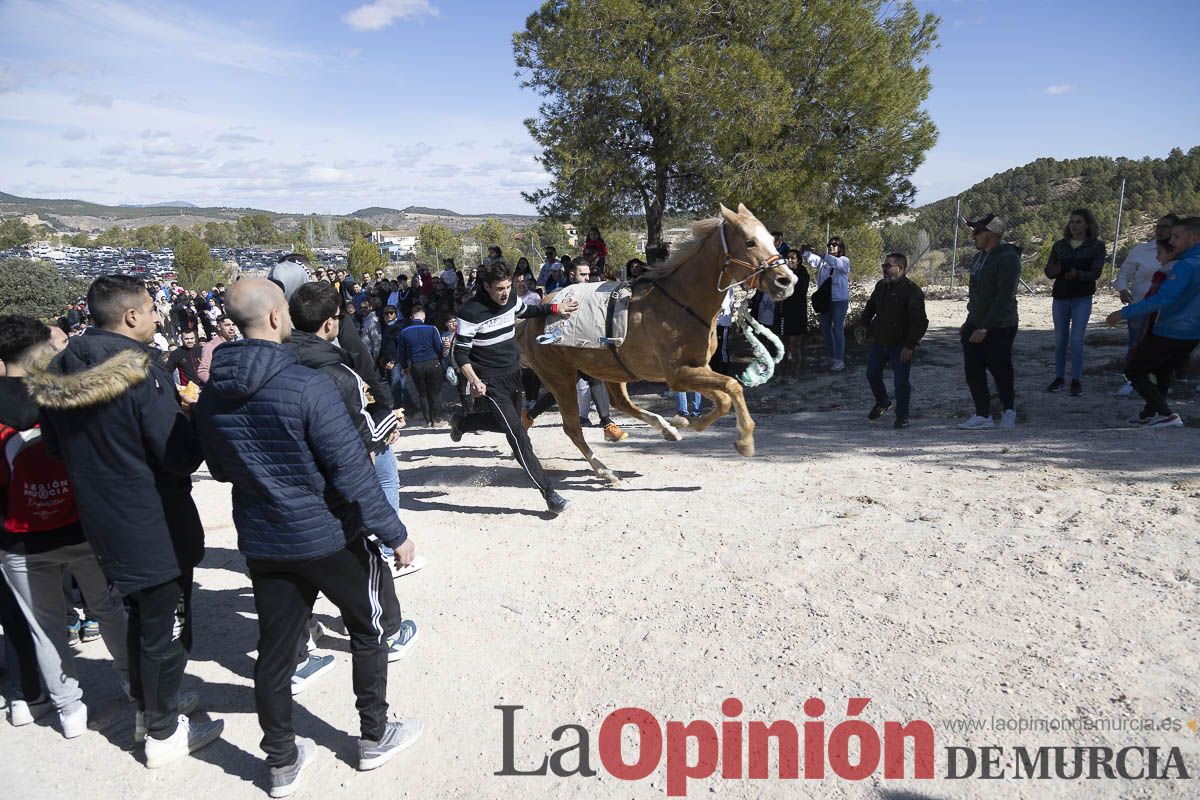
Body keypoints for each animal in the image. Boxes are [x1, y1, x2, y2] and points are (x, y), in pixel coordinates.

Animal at [516, 203, 796, 484]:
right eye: (750, 242)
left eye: (772, 240)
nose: (786, 281)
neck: (681, 302)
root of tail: (533, 317)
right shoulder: (678, 374)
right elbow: (732, 387)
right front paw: (744, 440)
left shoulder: (698, 368)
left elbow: (723, 398)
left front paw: (683, 424)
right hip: (559, 375)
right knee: (572, 426)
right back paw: (604, 470)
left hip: (609, 368)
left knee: (620, 403)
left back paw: (665, 429)